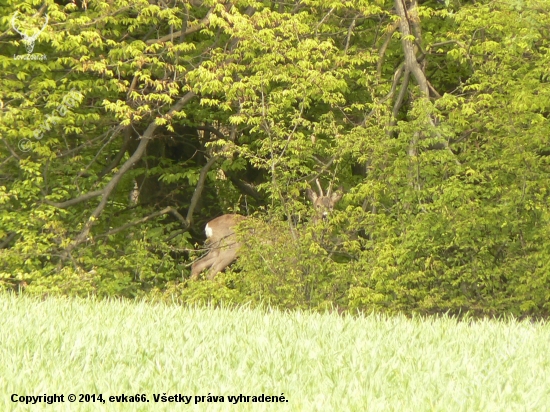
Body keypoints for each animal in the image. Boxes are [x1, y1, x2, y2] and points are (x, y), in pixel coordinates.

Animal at [191, 180, 344, 280]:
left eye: (331, 206)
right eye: (317, 205)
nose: (325, 216)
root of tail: (208, 226)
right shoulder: (291, 259)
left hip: (215, 248)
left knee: (197, 265)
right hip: (230, 247)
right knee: (211, 272)